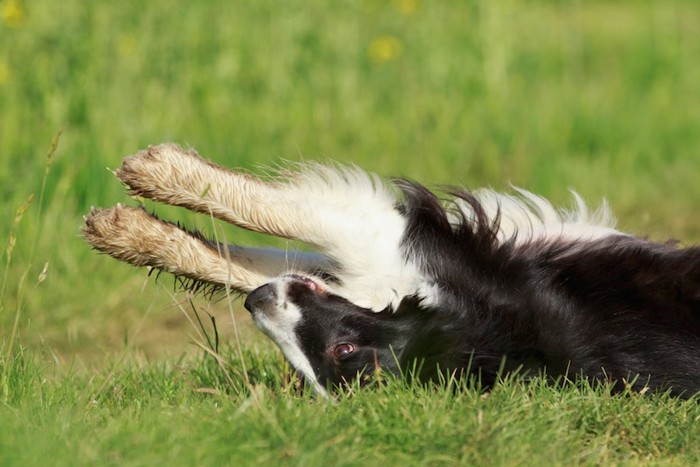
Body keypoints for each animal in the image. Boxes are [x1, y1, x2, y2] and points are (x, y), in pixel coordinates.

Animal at [83, 144, 700, 398]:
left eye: (344, 352)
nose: (256, 307)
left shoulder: (404, 251)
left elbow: (288, 215)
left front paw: (156, 175)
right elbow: (251, 259)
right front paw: (133, 233)